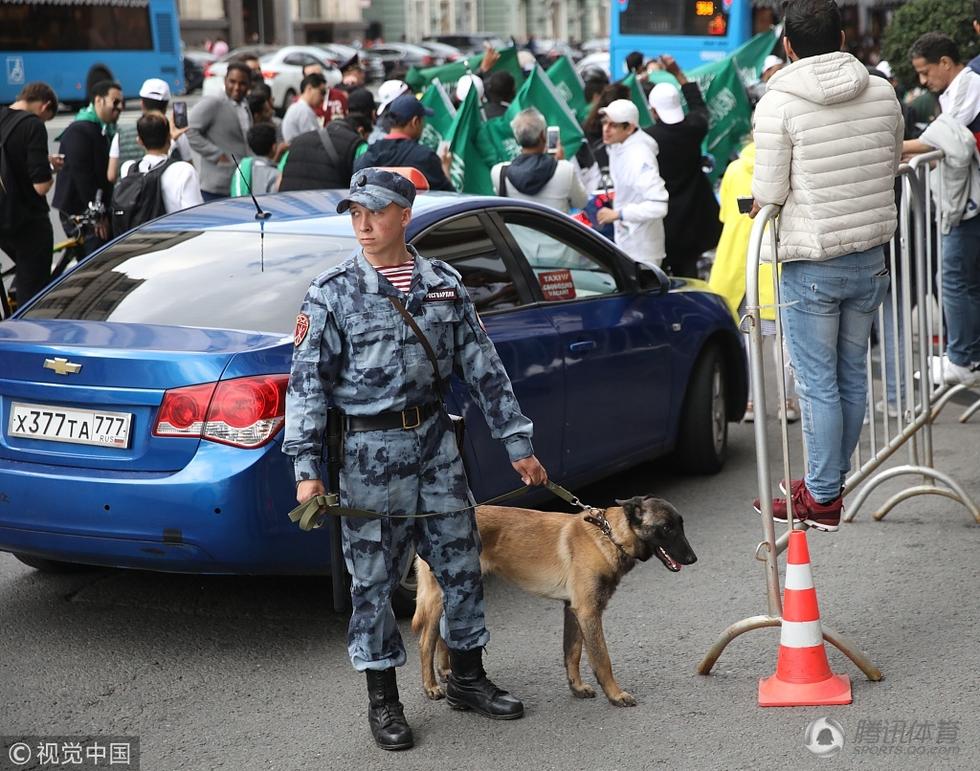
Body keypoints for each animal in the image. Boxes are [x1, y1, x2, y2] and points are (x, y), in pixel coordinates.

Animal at [414, 498, 696, 708]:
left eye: (681, 525)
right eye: (667, 528)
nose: (693, 559)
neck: (609, 534)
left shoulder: (572, 610)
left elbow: (572, 652)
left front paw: (577, 687)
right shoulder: (588, 612)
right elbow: (602, 658)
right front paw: (615, 695)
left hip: (460, 590)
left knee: (445, 634)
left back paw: (447, 672)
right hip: (440, 597)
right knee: (426, 641)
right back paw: (431, 686)